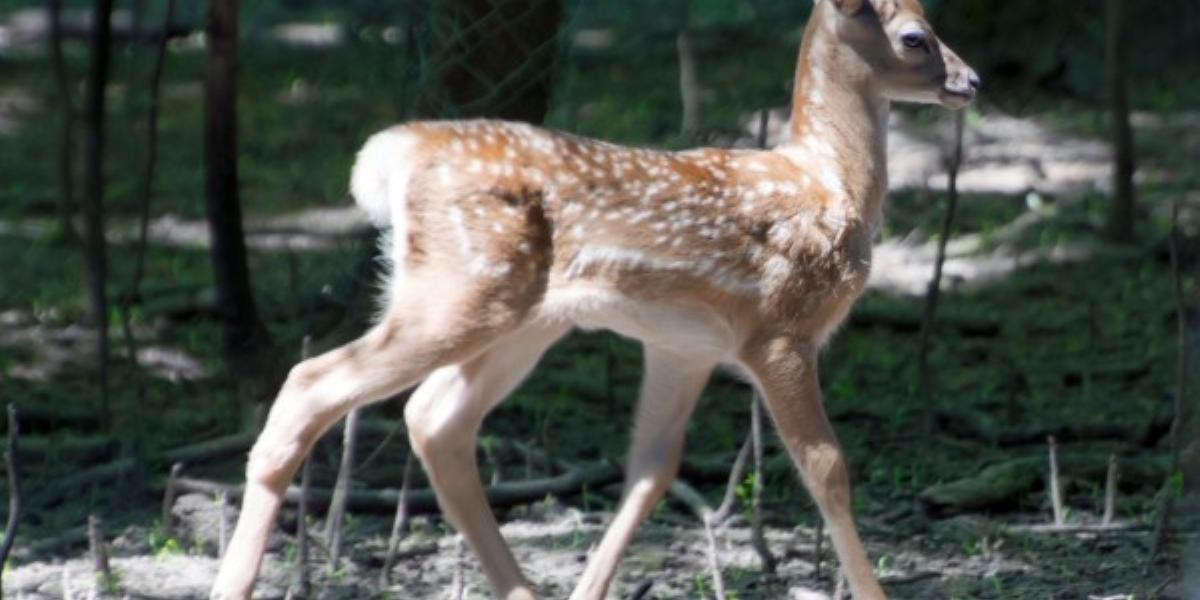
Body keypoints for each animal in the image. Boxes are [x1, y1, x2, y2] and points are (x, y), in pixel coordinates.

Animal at [213, 0, 974, 597]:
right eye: (914, 36)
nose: (970, 80)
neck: (828, 182)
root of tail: (390, 155)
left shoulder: (684, 345)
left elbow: (652, 469)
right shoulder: (780, 329)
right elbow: (828, 470)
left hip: (521, 318)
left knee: (435, 419)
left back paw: (521, 590)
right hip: (462, 291)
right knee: (311, 383)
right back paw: (235, 582)